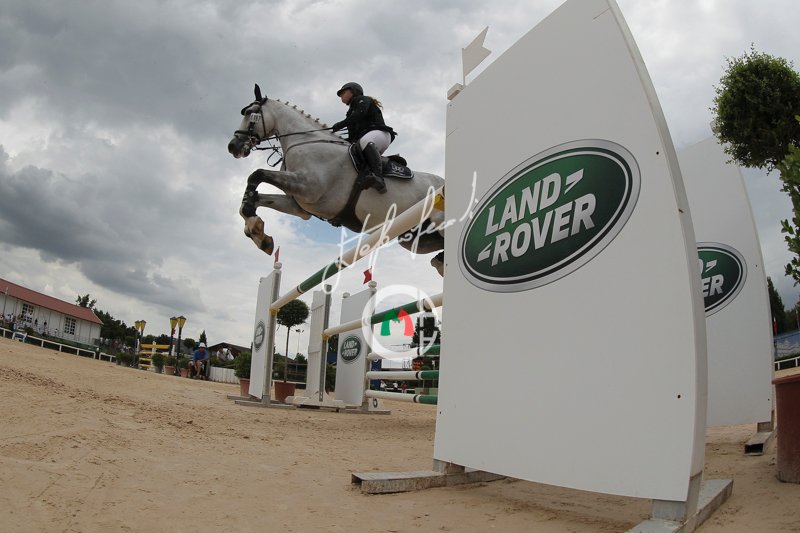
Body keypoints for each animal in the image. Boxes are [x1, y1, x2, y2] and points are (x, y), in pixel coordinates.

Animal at [227, 85, 446, 275]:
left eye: (249, 113)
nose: (233, 147)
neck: (305, 142)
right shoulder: (299, 205)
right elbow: (255, 199)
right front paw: (258, 233)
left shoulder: (308, 187)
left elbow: (257, 174)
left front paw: (255, 226)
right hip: (415, 239)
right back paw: (440, 263)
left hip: (437, 222)